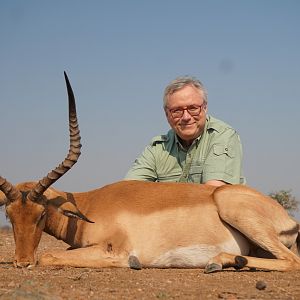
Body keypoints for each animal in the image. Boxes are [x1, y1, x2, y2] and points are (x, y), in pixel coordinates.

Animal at [0, 72, 300, 272]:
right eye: (10, 215)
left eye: (41, 214)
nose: (22, 262)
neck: (91, 205)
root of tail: (286, 218)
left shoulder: (114, 252)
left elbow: (47, 256)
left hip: (232, 207)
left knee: (291, 262)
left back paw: (219, 261)